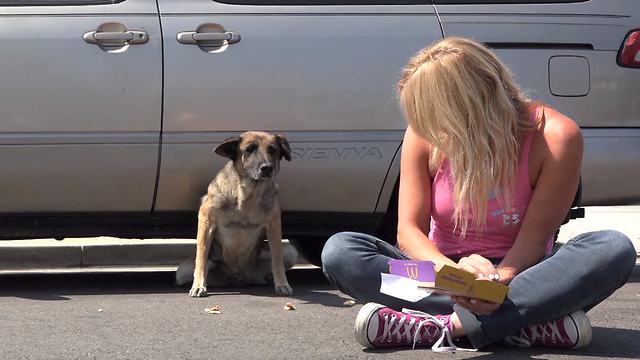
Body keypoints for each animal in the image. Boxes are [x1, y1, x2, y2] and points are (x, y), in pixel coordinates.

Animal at [174, 131, 296, 296]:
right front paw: (198, 285)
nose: (267, 168)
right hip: (183, 271)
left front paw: (282, 284)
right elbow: (201, 258)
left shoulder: (274, 227)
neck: (248, 195)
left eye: (273, 150)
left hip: (289, 251)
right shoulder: (206, 222)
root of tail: (237, 277)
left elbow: (277, 260)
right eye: (250, 149)